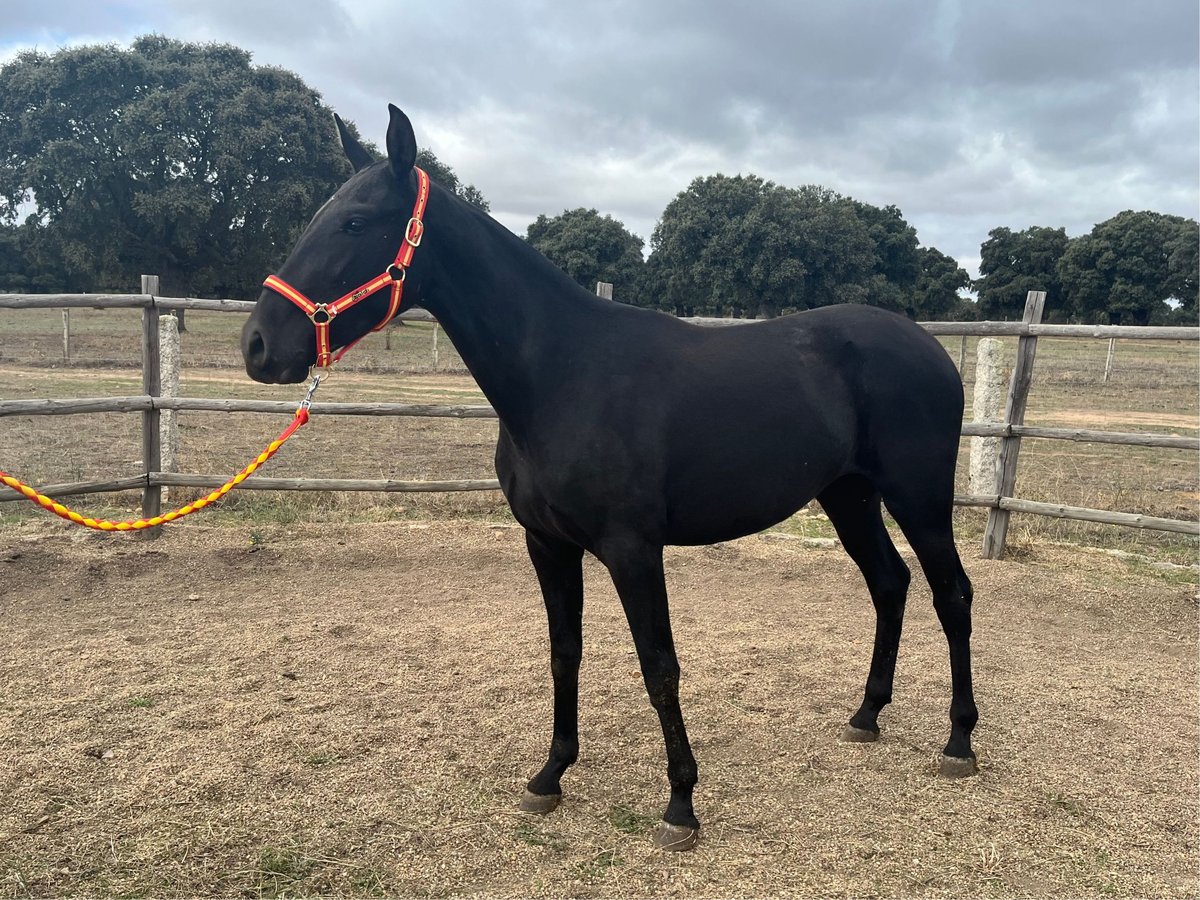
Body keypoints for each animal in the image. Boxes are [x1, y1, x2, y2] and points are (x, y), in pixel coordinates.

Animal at [241, 105, 974, 854]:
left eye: (355, 222)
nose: (259, 345)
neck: (563, 374)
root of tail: (929, 346)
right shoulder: (547, 544)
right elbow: (565, 652)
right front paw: (550, 776)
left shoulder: (632, 550)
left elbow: (659, 665)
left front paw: (680, 804)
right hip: (848, 495)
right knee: (889, 583)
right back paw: (866, 715)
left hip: (919, 498)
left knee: (951, 593)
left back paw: (959, 743)